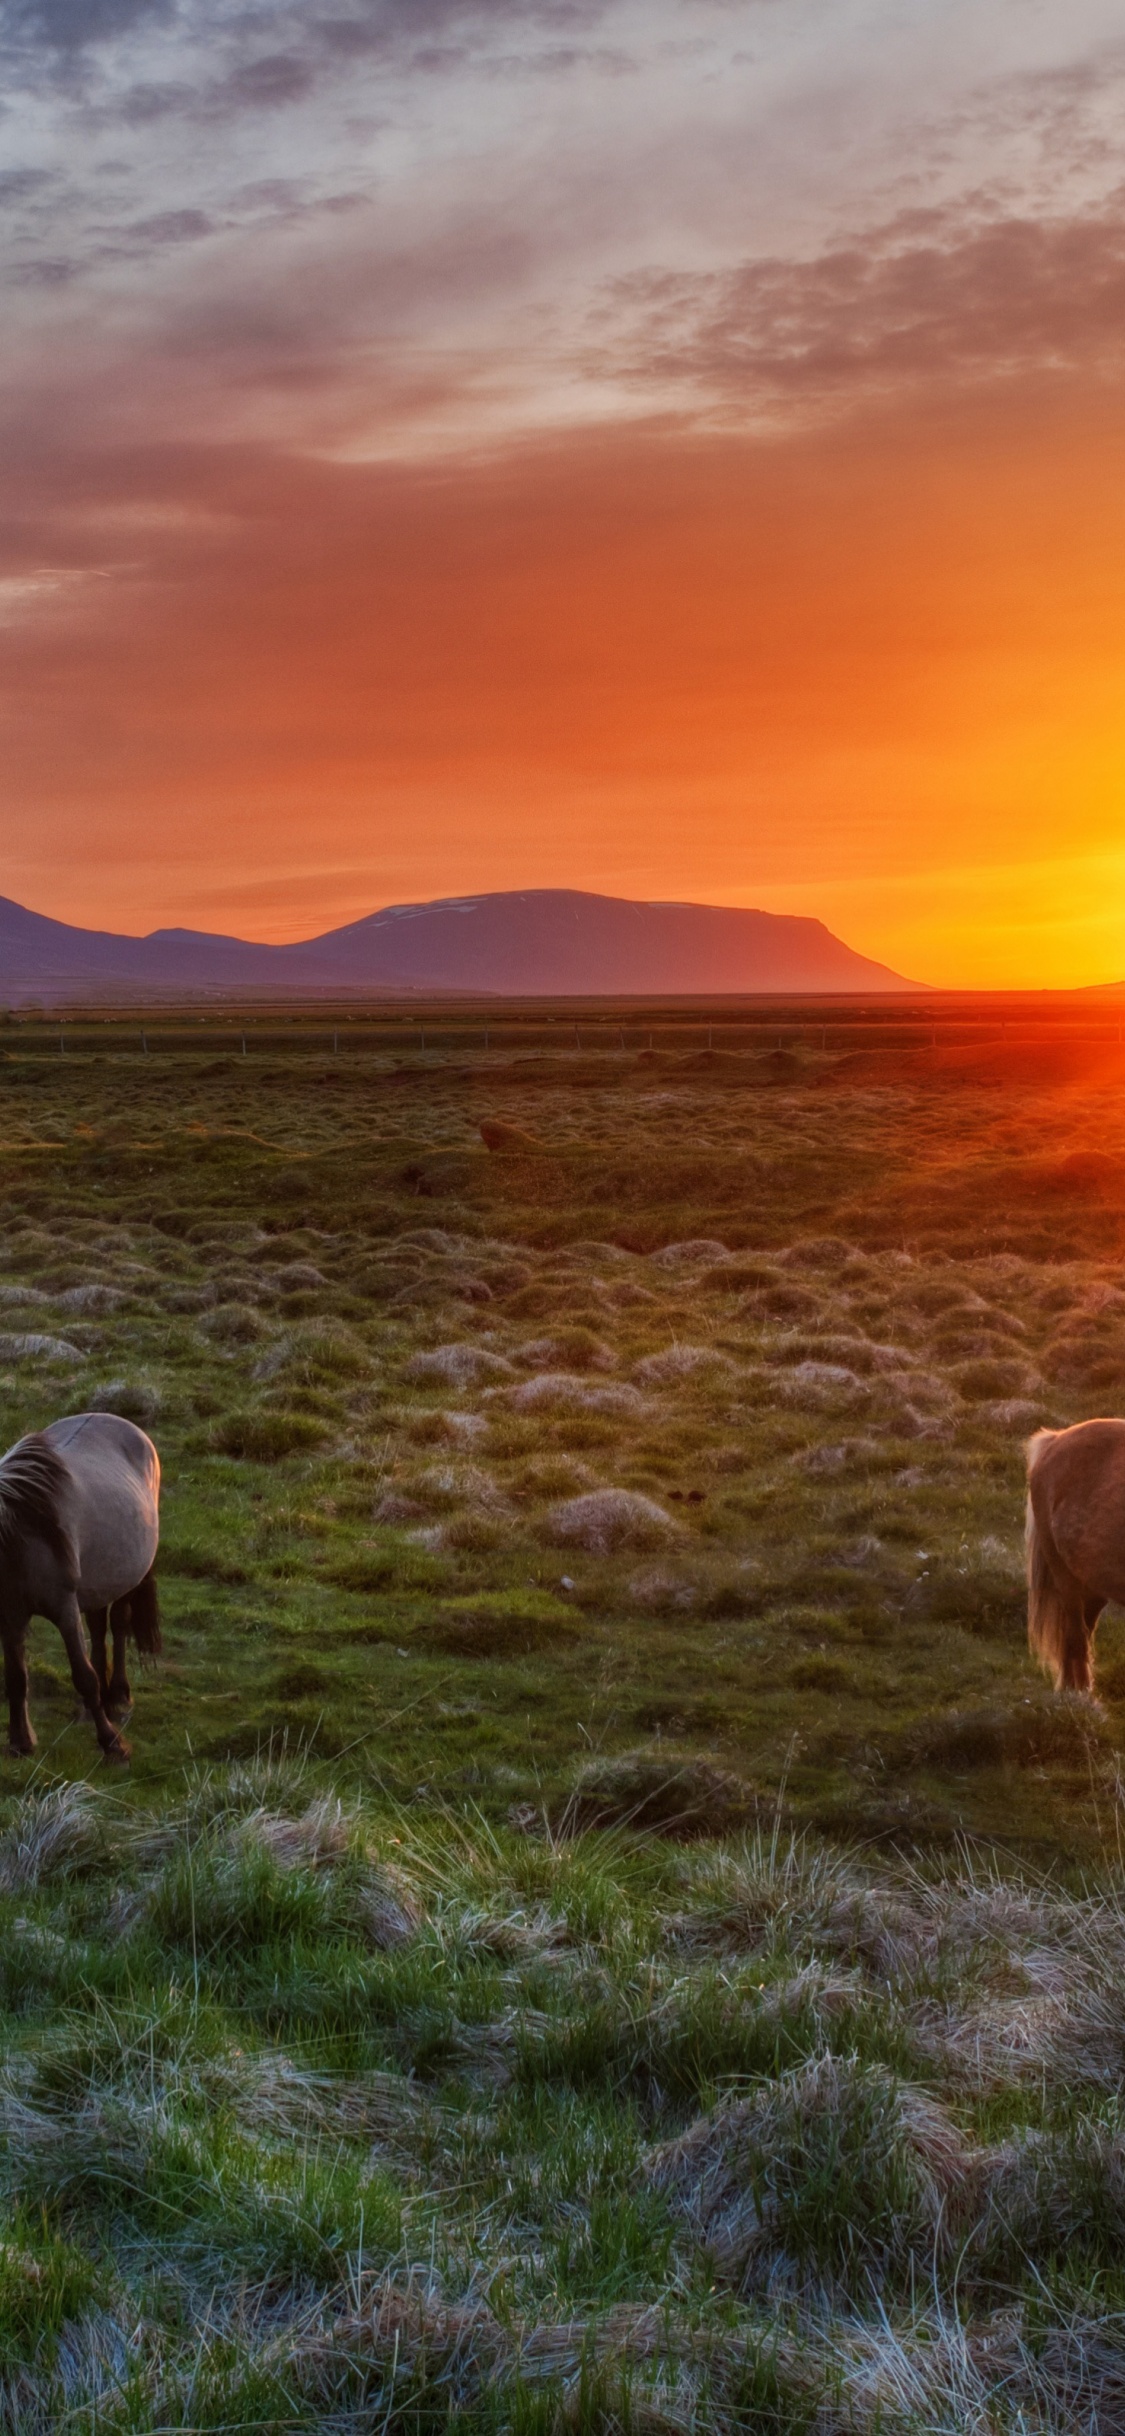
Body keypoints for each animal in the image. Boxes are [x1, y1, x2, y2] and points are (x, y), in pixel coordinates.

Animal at [0, 1412, 163, 1773]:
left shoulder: (64, 1609)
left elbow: (83, 1677)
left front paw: (113, 1744)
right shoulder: (11, 1616)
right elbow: (16, 1678)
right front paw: (20, 1742)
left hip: (126, 1579)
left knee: (118, 1625)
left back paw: (118, 1695)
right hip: (98, 1583)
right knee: (99, 1628)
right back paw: (97, 1704)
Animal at [1022, 1422, 1125, 1695]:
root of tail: (1056, 1438)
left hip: (1092, 1585)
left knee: (1081, 1634)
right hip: (1063, 1576)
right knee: (1075, 1636)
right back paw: (1078, 1695)